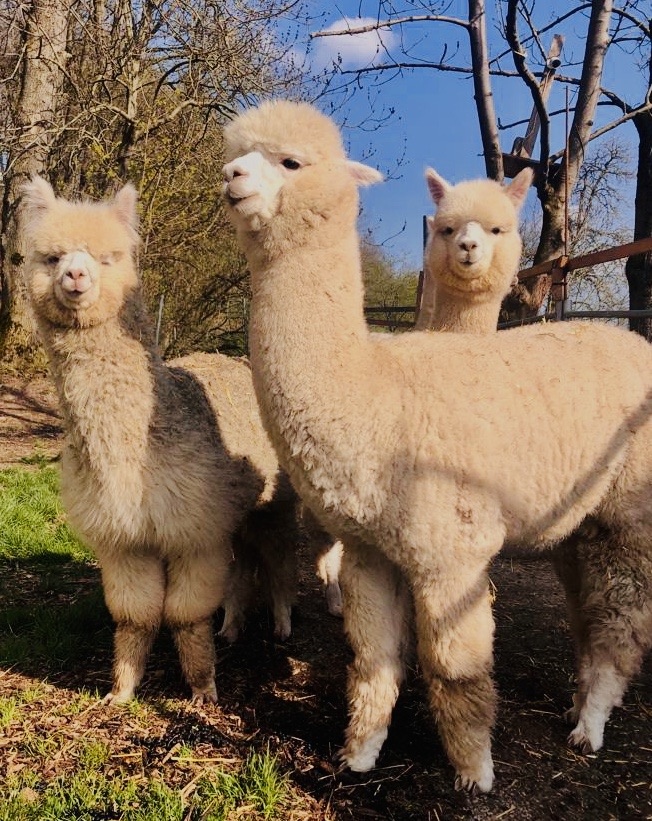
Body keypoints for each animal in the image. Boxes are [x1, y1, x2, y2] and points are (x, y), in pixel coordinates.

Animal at [19, 176, 300, 704]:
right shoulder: (125, 538)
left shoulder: (194, 529)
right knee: (242, 566)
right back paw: (232, 628)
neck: (133, 454)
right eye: (51, 257)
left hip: (275, 498)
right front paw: (122, 690)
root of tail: (233, 360)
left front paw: (203, 690)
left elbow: (186, 616)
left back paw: (281, 624)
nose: (75, 277)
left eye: (109, 257)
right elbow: (136, 616)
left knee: (277, 557)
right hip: (232, 510)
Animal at [221, 99, 652, 793]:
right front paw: (359, 753)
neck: (377, 396)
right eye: (234, 151)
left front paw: (475, 772)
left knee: (620, 617)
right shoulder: (371, 548)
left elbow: (456, 671)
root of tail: (634, 340)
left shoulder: (453, 553)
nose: (231, 177)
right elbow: (372, 661)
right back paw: (578, 703)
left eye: (290, 161)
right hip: (578, 522)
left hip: (630, 512)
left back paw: (591, 726)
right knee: (588, 607)